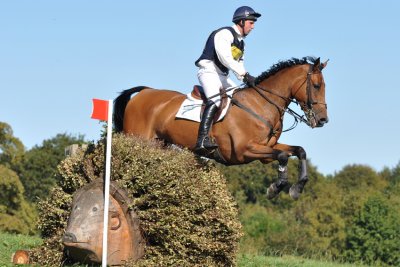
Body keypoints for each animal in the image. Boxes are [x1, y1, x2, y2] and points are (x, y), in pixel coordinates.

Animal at [113, 58, 328, 201]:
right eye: (317, 86)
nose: (322, 119)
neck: (261, 104)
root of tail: (144, 92)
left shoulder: (266, 152)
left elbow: (299, 151)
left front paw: (297, 188)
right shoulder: (244, 151)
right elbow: (283, 156)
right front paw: (275, 188)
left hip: (158, 144)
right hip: (138, 140)